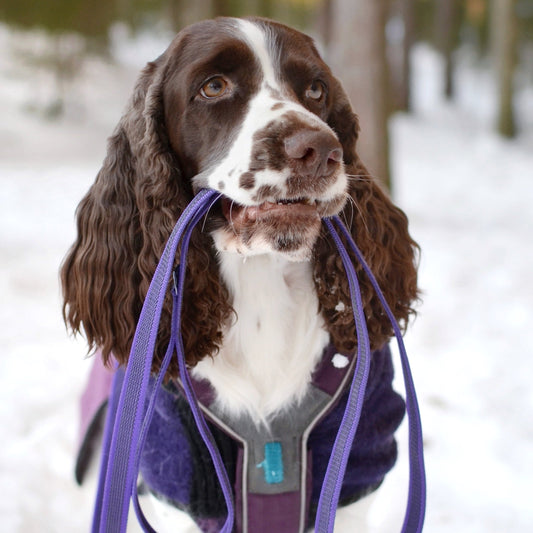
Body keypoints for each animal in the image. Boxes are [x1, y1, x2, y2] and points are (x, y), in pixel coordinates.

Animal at [62, 15, 418, 532]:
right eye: (214, 86)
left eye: (316, 90)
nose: (320, 149)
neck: (261, 280)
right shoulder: (178, 480)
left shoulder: (356, 467)